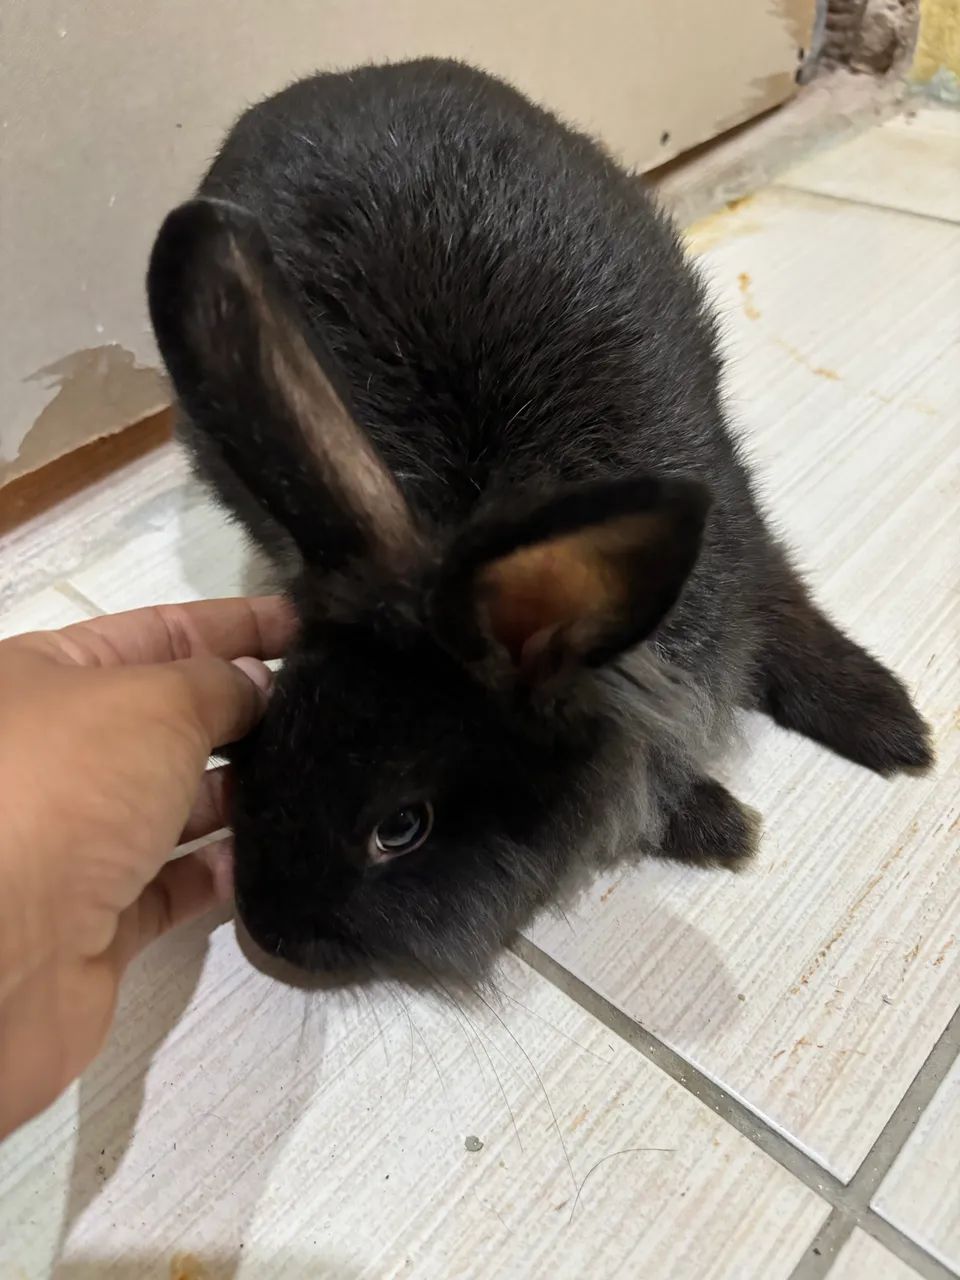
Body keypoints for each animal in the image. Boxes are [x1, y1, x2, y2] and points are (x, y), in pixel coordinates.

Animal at [147, 59, 932, 977]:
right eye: (263, 734)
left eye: (401, 827)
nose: (267, 932)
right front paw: (720, 826)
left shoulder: (746, 559)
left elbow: (795, 628)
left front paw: (897, 732)